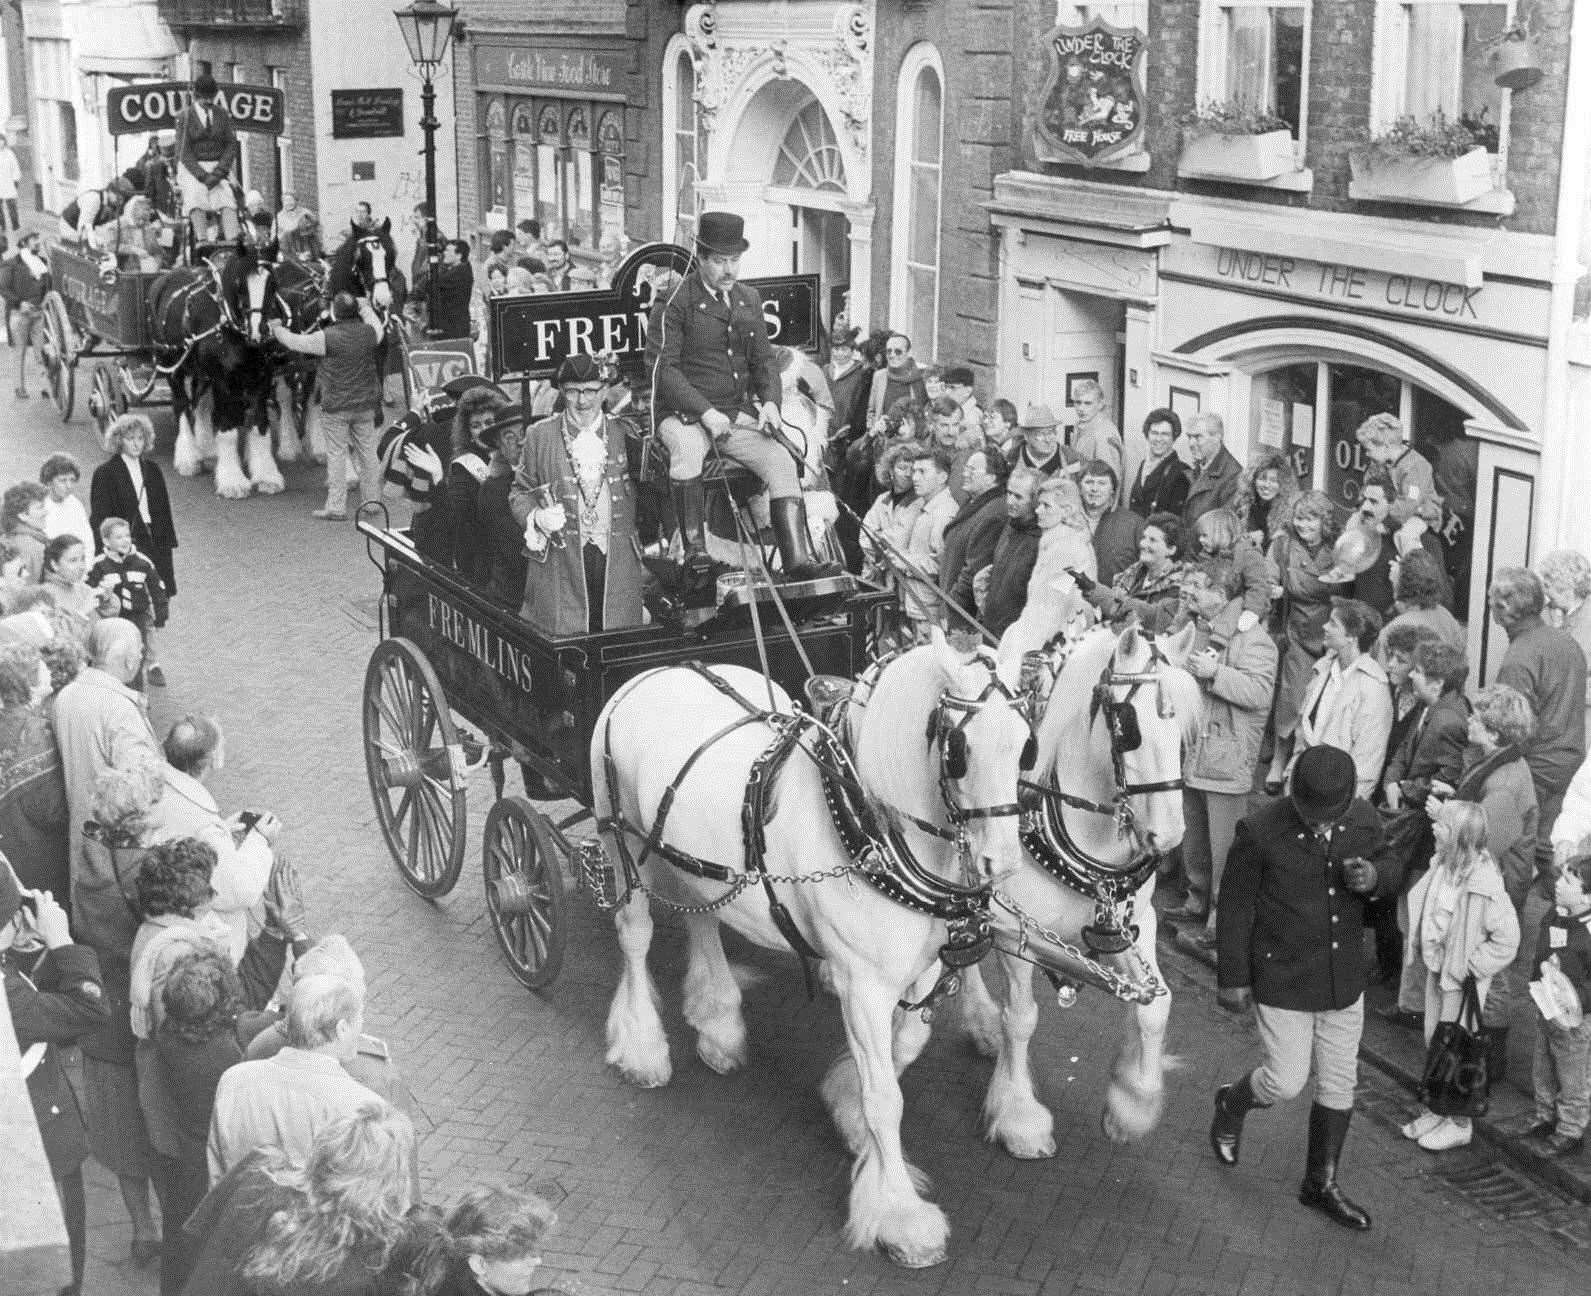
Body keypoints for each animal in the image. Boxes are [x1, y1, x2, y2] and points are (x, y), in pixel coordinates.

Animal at [151, 243, 289, 502]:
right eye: (239, 284)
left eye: (273, 284)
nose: (259, 332)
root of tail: (164, 277)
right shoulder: (224, 382)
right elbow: (227, 427)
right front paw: (232, 481)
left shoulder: (262, 379)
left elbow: (260, 424)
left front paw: (266, 476)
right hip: (172, 364)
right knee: (182, 405)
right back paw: (188, 457)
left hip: (201, 372)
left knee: (200, 403)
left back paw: (207, 450)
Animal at [591, 632, 1050, 1259]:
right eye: (958, 749)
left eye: (1027, 747)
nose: (1000, 864)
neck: (868, 826)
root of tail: (655, 671)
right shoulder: (863, 986)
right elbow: (887, 1098)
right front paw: (899, 1214)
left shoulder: (922, 969)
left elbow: (906, 1047)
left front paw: (845, 1107)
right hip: (619, 842)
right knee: (635, 937)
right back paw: (642, 1049)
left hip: (693, 861)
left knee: (702, 920)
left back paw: (717, 1024)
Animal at [948, 626, 1196, 1157]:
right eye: (1127, 725)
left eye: (1186, 730)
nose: (1169, 837)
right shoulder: (1018, 932)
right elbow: (1021, 1018)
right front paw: (1019, 1118)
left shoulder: (1134, 925)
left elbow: (1157, 1007)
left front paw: (1131, 1104)